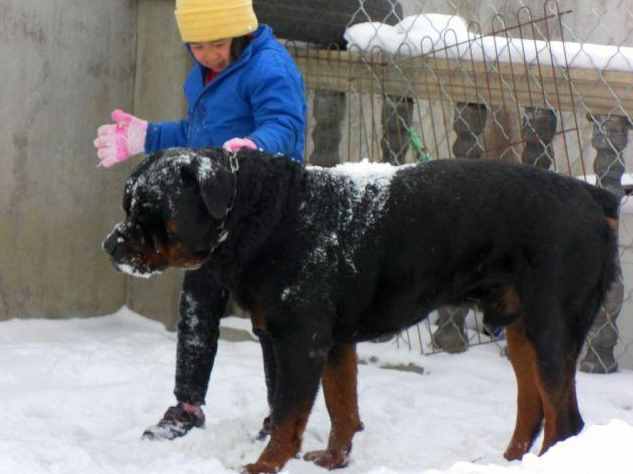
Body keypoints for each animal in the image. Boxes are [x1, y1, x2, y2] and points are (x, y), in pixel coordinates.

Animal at [103, 146, 616, 472]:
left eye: (147, 208)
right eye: (127, 204)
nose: (110, 243)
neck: (268, 217)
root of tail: (594, 196)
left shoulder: (300, 343)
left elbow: (287, 414)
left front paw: (263, 466)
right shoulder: (333, 343)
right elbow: (341, 406)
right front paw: (333, 460)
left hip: (552, 327)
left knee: (565, 419)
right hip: (522, 329)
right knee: (534, 406)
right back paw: (508, 462)